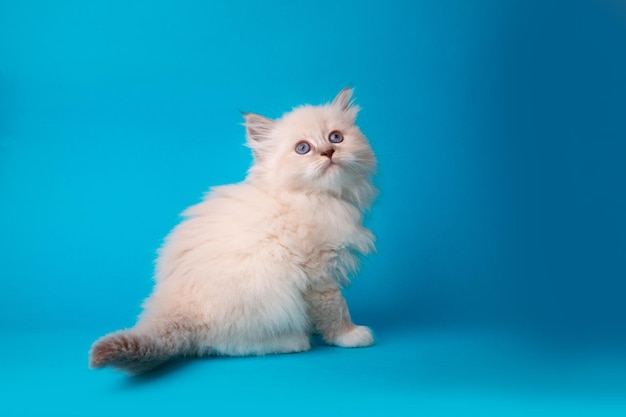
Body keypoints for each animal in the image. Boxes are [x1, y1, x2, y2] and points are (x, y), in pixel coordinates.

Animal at [88, 88, 376, 374]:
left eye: (336, 137)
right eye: (303, 148)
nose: (328, 152)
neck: (319, 199)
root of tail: (174, 306)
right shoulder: (320, 274)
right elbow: (336, 308)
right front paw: (349, 335)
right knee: (226, 345)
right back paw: (293, 341)